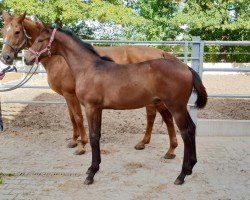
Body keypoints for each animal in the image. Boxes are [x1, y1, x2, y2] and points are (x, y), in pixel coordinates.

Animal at [1, 11, 178, 158]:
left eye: (17, 32)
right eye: (3, 32)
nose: (6, 58)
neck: (61, 59)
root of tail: (162, 53)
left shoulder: (71, 95)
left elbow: (78, 117)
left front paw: (82, 145)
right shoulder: (67, 96)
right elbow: (72, 117)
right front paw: (74, 140)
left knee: (163, 117)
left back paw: (167, 149)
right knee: (153, 116)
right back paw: (144, 143)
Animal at [23, 27, 207, 185]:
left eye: (40, 40)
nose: (26, 59)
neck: (88, 68)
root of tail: (187, 68)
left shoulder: (91, 107)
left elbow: (93, 137)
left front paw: (91, 173)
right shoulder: (98, 109)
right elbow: (97, 135)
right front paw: (92, 168)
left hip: (176, 108)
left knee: (186, 132)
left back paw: (181, 174)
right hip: (179, 108)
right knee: (192, 128)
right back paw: (190, 167)